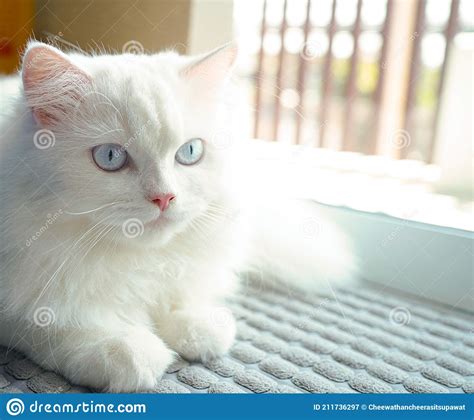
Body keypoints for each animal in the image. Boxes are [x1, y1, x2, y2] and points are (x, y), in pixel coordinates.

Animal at [0, 41, 356, 392]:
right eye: (110, 156)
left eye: (189, 152)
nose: (164, 197)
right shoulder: (25, 297)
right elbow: (50, 323)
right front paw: (125, 349)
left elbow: (177, 299)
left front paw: (198, 328)